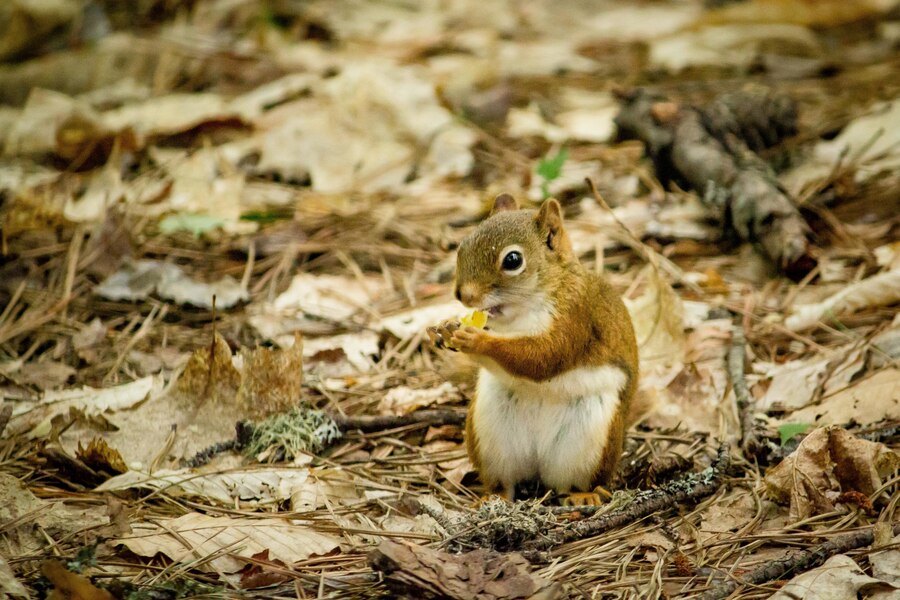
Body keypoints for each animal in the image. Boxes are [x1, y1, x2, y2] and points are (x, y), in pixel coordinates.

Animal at [428, 193, 640, 506]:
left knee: (576, 481)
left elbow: (543, 358)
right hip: (489, 434)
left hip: (593, 438)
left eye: (513, 260)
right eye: (462, 246)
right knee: (504, 481)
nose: (463, 295)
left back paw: (584, 494)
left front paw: (477, 340)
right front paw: (443, 328)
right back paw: (494, 497)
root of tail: (538, 466)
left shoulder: (576, 315)